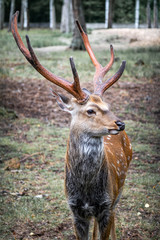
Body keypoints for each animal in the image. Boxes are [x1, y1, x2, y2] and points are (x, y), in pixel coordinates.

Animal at [11, 10, 132, 240]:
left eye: (108, 105)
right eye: (90, 110)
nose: (120, 123)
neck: (87, 192)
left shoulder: (107, 204)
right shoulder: (75, 210)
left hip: (119, 191)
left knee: (115, 220)